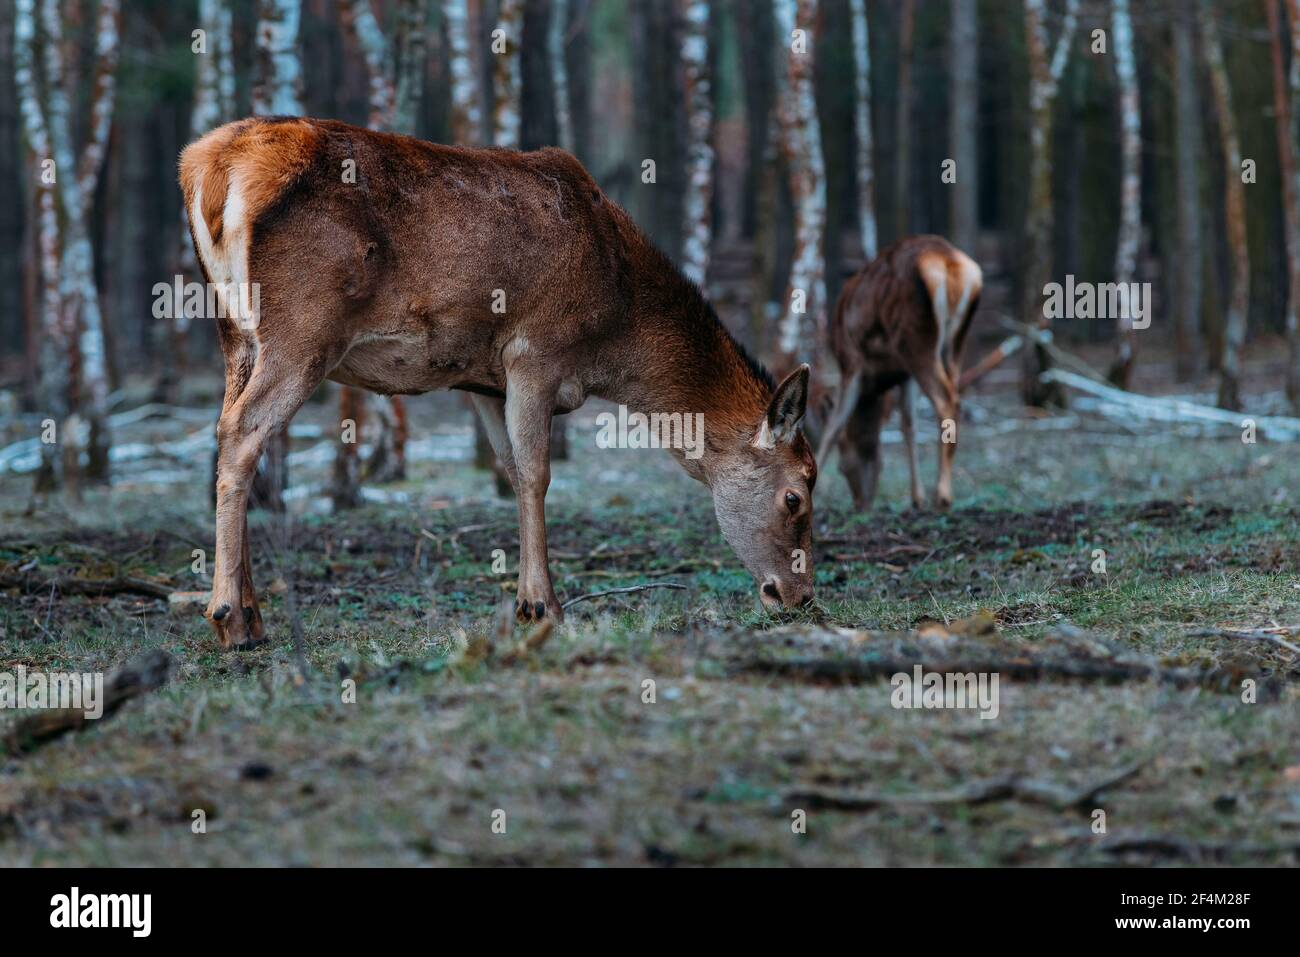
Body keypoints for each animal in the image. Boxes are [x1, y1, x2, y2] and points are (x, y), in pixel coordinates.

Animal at [179, 117, 816, 650]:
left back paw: (253, 612)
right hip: (302, 328)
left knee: (226, 430)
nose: (799, 597)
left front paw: (524, 602)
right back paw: (230, 619)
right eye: (797, 495)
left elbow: (509, 470)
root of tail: (208, 169)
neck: (616, 323)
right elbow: (537, 472)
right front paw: (543, 607)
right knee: (243, 432)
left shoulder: (483, 381)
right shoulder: (535, 349)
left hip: (234, 334)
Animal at [816, 235, 982, 512]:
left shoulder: (851, 362)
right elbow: (908, 424)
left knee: (946, 402)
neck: (877, 382)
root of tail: (949, 263)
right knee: (955, 395)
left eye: (842, 467)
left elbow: (834, 427)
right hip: (956, 342)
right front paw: (916, 498)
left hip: (916, 339)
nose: (862, 503)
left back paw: (943, 495)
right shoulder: (904, 373)